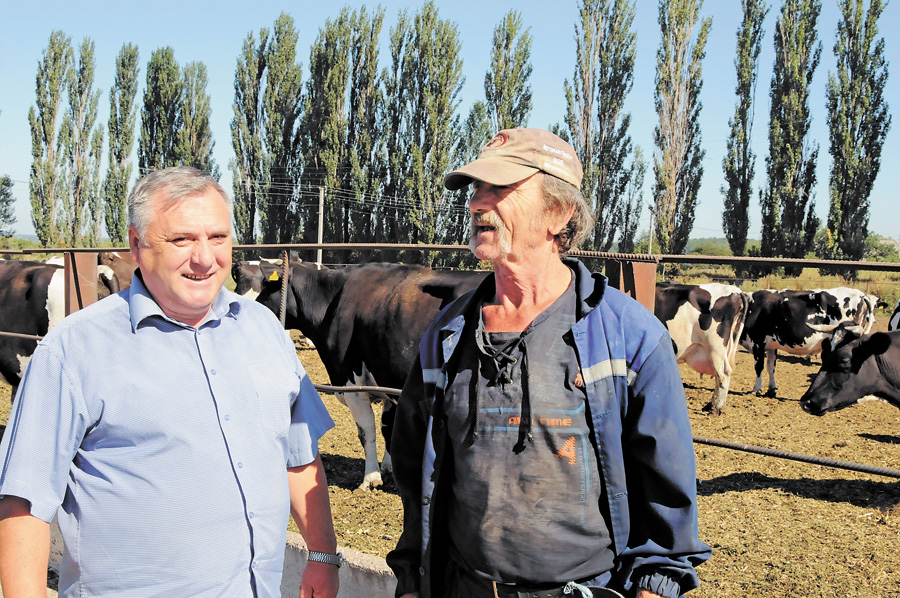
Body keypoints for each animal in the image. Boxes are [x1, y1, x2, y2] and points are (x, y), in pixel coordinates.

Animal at [256, 262, 488, 492]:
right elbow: (388, 427)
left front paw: (371, 477)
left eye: (265, 289)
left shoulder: (352, 382)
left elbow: (366, 430)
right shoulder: (387, 379)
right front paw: (388, 469)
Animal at [652, 282, 752, 414]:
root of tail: (736, 291)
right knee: (722, 374)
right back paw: (712, 405)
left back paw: (717, 407)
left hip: (715, 347)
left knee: (723, 374)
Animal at [740, 288, 880, 398]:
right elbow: (771, 367)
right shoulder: (770, 345)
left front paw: (756, 389)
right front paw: (771, 389)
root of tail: (861, 294)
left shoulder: (757, 342)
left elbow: (759, 367)